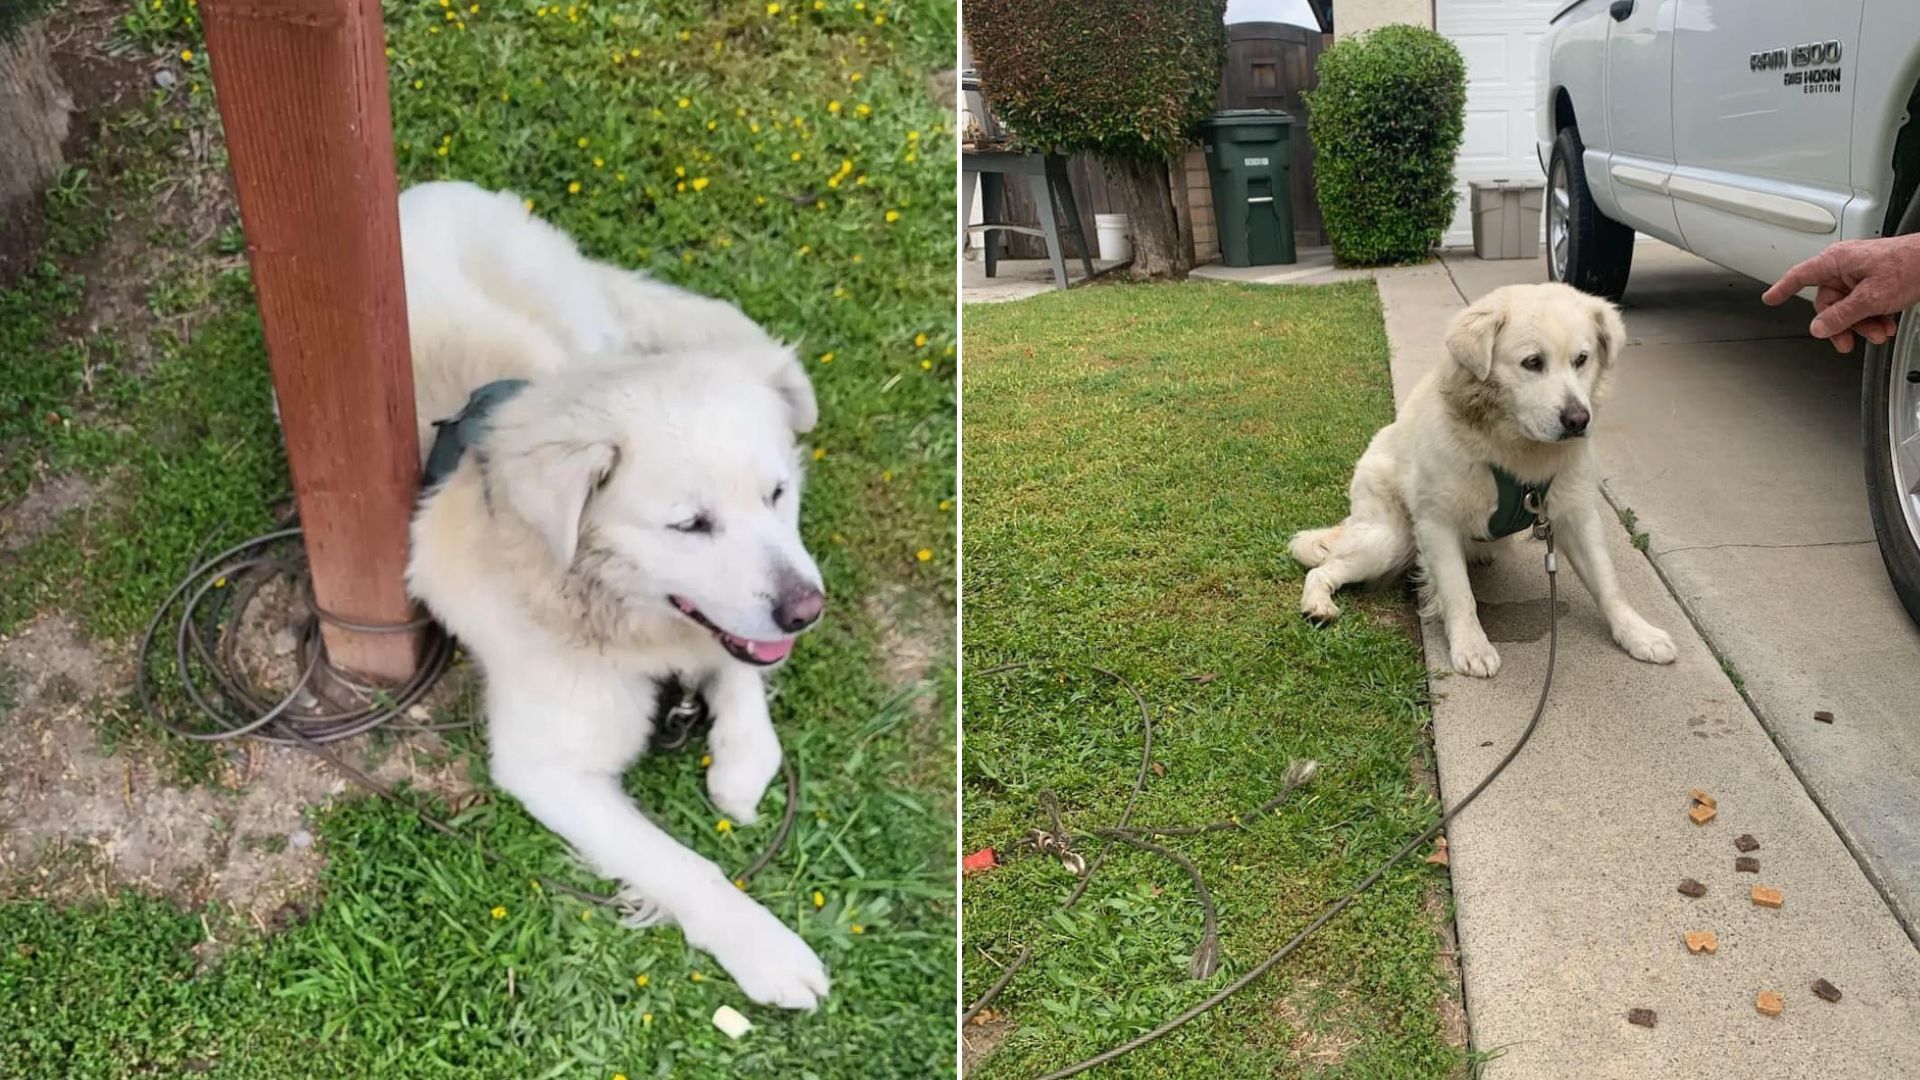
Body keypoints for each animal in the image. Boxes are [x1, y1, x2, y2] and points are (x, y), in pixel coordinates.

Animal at [401, 180, 829, 1006]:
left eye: (777, 494)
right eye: (690, 524)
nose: (807, 613)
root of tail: (427, 190)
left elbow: (743, 683)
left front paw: (739, 765)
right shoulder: (547, 769)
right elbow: (685, 866)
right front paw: (767, 950)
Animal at [1290, 282, 1681, 676]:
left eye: (1582, 360)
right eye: (1532, 362)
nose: (1577, 420)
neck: (1513, 452)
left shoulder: (1575, 514)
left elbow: (1607, 583)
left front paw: (1636, 633)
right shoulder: (1437, 523)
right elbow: (1459, 594)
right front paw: (1471, 646)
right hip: (1390, 541)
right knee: (1321, 571)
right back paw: (1318, 605)